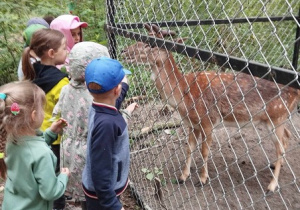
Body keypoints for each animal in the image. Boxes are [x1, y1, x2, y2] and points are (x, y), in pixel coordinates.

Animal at [120, 23, 298, 193]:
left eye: (150, 45)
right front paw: (183, 176)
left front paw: (202, 179)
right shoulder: (191, 123)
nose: (123, 50)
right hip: (276, 118)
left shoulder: (208, 121)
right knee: (287, 136)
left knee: (280, 148)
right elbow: (189, 148)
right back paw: (275, 165)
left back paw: (271, 186)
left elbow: (204, 151)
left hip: (277, 116)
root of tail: (297, 91)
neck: (184, 95)